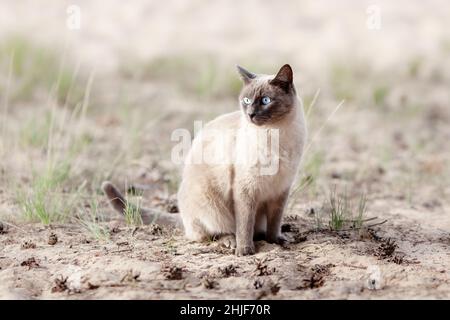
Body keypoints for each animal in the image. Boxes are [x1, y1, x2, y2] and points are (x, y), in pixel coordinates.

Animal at [102, 63, 306, 256]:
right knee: (214, 232)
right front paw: (245, 251)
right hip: (211, 205)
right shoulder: (246, 189)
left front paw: (276, 241)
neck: (276, 134)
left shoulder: (281, 190)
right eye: (246, 101)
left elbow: (275, 221)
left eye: (265, 101)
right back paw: (231, 242)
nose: (250, 114)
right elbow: (244, 224)